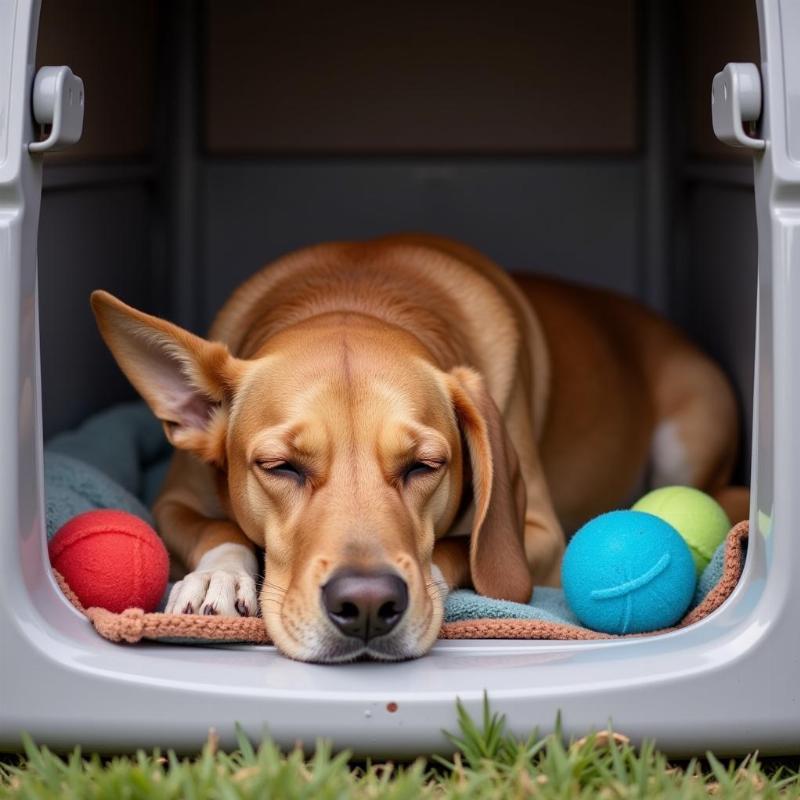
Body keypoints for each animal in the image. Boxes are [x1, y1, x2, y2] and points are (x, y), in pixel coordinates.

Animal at [89, 236, 744, 664]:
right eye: (280, 467)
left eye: (424, 466)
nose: (367, 604)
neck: (355, 295)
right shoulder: (172, 500)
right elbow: (215, 528)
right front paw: (217, 578)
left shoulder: (537, 533)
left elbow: (461, 550)